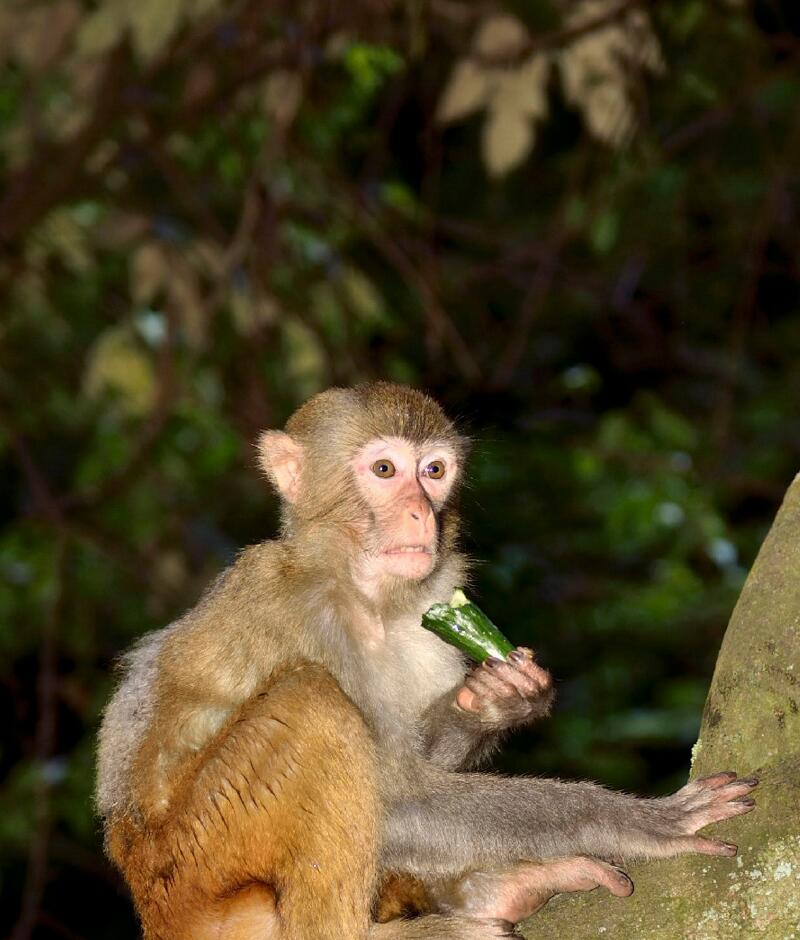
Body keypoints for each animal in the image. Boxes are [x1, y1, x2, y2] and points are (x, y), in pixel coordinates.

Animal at [97, 384, 760, 940]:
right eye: (385, 471)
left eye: (433, 472)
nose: (419, 513)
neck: (369, 598)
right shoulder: (306, 617)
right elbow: (395, 803)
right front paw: (643, 822)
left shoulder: (434, 604)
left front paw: (496, 698)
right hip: (196, 867)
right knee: (311, 703)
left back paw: (498, 891)